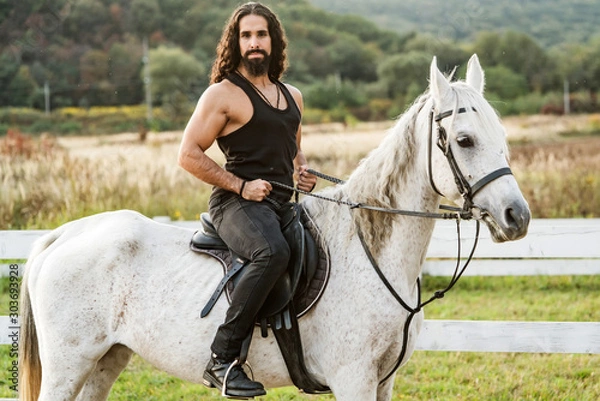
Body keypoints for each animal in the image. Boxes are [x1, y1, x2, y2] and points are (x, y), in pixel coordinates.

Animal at [17, 54, 528, 400]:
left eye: (502, 137)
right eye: (464, 140)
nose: (517, 217)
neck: (368, 251)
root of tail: (63, 235)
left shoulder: (384, 380)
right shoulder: (353, 378)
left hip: (106, 360)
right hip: (70, 364)